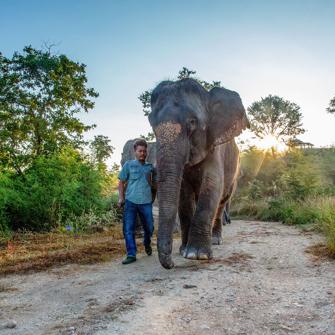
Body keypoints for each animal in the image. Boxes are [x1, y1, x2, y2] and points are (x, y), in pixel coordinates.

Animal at [149, 79, 249, 270]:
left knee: (221, 201)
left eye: (193, 121)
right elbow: (184, 194)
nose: (171, 264)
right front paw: (183, 250)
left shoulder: (215, 146)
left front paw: (197, 255)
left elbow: (212, 185)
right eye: (151, 124)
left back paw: (216, 240)